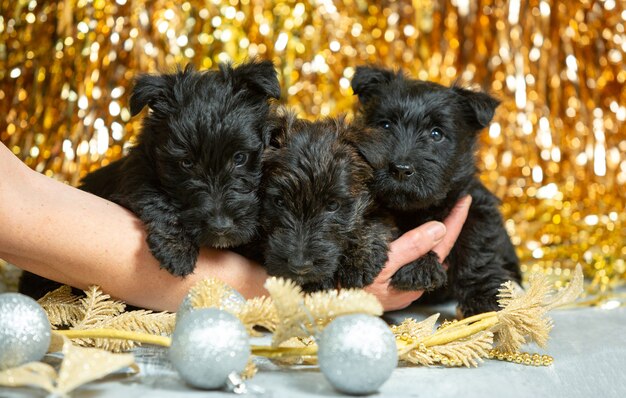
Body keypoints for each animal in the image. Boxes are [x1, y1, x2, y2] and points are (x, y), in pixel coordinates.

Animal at [18, 60, 278, 298]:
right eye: (186, 163)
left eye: (240, 157)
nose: (221, 227)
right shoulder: (135, 175)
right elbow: (153, 196)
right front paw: (176, 251)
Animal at [348, 67, 520, 318]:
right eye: (385, 126)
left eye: (436, 134)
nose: (400, 169)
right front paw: (416, 265)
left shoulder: (474, 205)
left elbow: (477, 250)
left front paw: (484, 297)